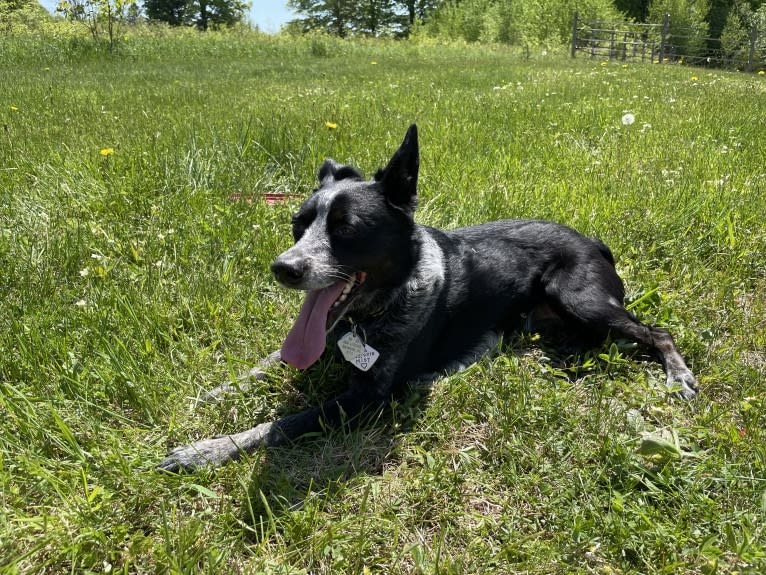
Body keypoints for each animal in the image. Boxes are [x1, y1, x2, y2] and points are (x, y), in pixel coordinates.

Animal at [159, 125, 700, 472]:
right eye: (298, 224)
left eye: (346, 229)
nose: (283, 268)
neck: (373, 312)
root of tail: (593, 241)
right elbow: (262, 365)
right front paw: (208, 394)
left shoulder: (366, 401)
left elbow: (280, 424)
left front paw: (205, 449)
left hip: (579, 297)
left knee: (658, 331)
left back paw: (678, 375)